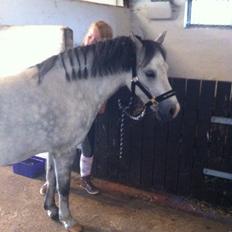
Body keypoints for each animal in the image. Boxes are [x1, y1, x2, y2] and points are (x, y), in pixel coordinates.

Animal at [0, 33, 179, 232]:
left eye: (166, 69)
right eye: (150, 73)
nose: (173, 109)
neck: (67, 90)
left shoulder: (53, 149)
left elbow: (50, 177)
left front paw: (51, 209)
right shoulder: (65, 151)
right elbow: (63, 187)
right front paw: (68, 220)